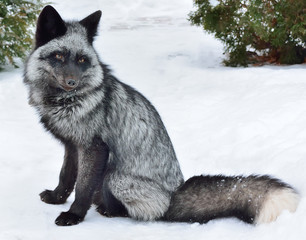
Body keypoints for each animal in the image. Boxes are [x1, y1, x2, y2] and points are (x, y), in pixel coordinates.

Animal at [23, 6, 298, 227]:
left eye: (81, 59)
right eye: (58, 55)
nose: (72, 82)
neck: (64, 102)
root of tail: (172, 197)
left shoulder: (94, 147)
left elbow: (82, 186)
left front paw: (74, 215)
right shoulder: (72, 144)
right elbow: (66, 176)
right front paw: (56, 198)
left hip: (115, 177)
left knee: (136, 210)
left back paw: (106, 210)